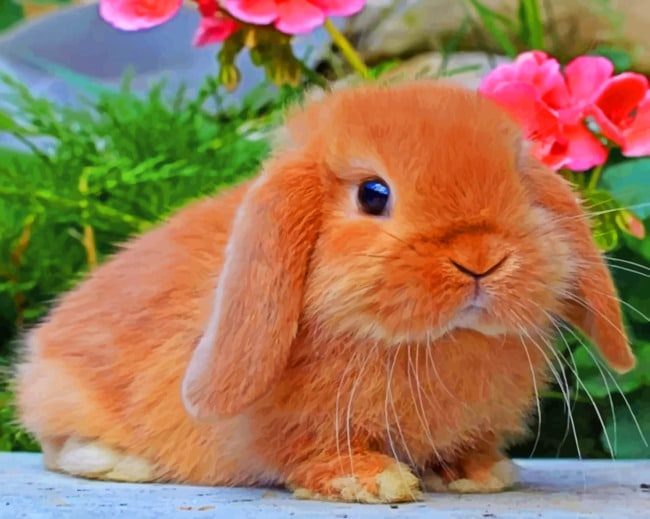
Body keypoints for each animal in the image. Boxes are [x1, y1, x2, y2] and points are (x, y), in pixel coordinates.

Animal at [14, 79, 636, 504]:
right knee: (56, 446)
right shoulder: (287, 428)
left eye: (520, 180)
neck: (428, 344)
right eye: (373, 194)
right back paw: (125, 463)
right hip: (65, 392)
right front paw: (373, 481)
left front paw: (482, 473)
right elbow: (310, 452)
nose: (480, 258)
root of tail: (37, 349)